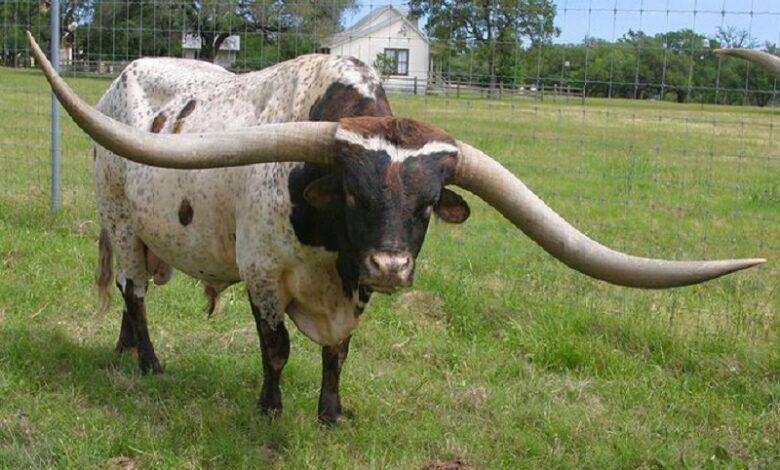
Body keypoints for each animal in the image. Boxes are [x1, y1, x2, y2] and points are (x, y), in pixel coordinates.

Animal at [27, 33, 765, 424]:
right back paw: (148, 362)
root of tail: (121, 77)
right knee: (134, 292)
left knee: (132, 297)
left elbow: (338, 352)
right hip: (120, 217)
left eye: (428, 204)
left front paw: (331, 414)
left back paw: (125, 350)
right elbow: (276, 350)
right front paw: (271, 409)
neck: (332, 250)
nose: (389, 267)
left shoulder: (350, 292)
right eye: (354, 194)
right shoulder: (263, 275)